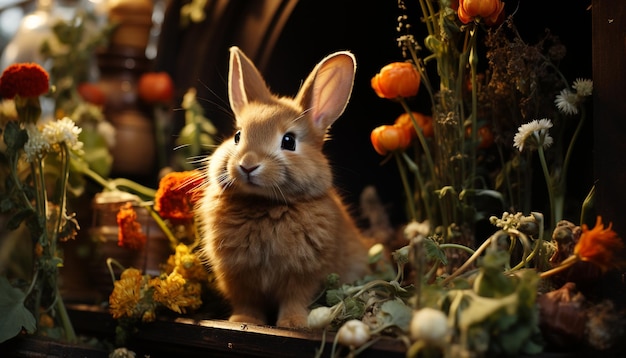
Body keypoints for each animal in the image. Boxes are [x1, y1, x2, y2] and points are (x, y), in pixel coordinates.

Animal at [195, 46, 368, 328]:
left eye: (289, 141)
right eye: (237, 136)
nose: (248, 165)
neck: (266, 204)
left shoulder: (304, 275)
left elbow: (295, 299)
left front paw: (293, 324)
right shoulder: (239, 277)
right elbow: (248, 302)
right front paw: (242, 320)